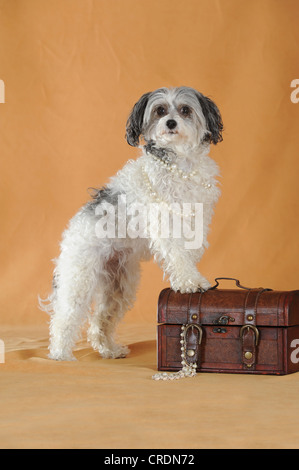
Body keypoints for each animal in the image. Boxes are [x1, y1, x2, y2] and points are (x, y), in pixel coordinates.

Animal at [39, 87, 223, 360]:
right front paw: (190, 281)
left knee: (100, 320)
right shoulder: (164, 222)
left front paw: (192, 277)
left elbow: (188, 252)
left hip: (119, 285)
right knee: (65, 316)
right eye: (160, 110)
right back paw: (60, 353)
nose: (170, 123)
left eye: (185, 110)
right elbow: (177, 254)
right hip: (79, 277)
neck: (179, 166)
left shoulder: (197, 219)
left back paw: (109, 349)